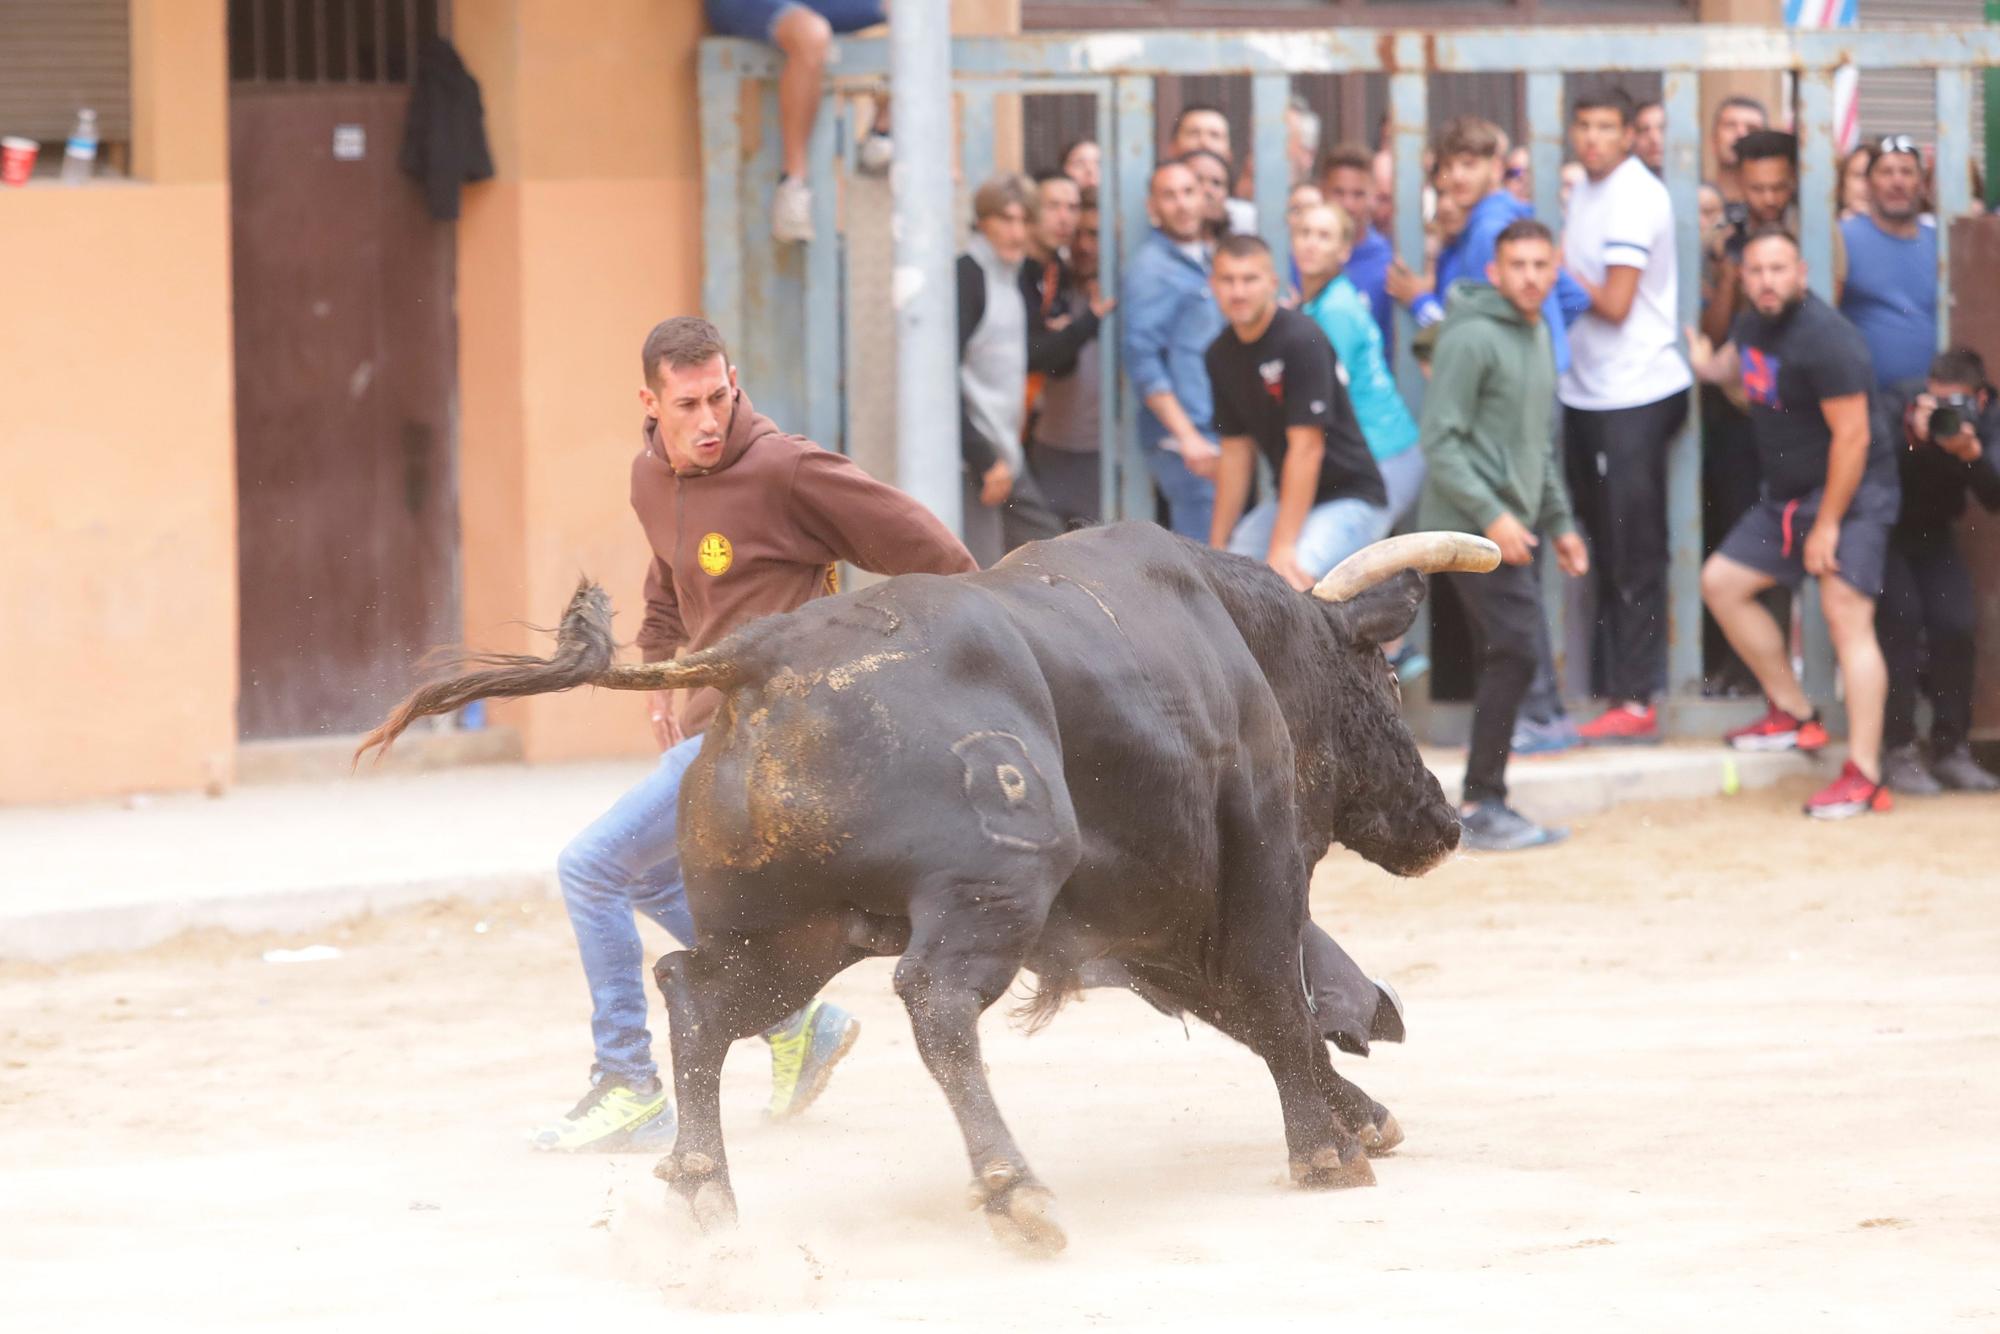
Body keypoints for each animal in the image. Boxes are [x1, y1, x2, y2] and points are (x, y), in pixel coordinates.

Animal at [360, 520, 1496, 1256]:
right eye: (1382, 679)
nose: (1443, 822)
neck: (1243, 642)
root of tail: (763, 656)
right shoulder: (1253, 852)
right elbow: (1270, 989)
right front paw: (1328, 1151)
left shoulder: (1148, 925)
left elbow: (1252, 1010)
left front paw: (1358, 1117)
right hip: (992, 888)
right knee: (937, 1003)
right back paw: (1013, 1189)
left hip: (792, 932)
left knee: (696, 992)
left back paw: (704, 1189)